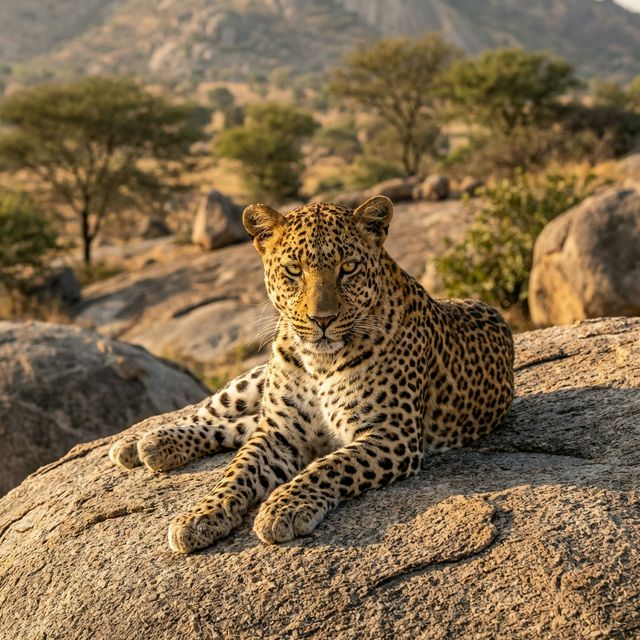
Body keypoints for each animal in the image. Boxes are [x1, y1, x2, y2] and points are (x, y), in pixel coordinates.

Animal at [109, 195, 515, 554]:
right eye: (294, 270)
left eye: (347, 268)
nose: (323, 320)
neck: (321, 364)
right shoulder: (278, 432)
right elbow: (237, 470)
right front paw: (200, 515)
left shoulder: (390, 435)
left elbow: (329, 467)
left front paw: (281, 509)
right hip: (253, 383)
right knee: (212, 412)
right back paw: (140, 442)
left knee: (236, 428)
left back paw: (148, 447)